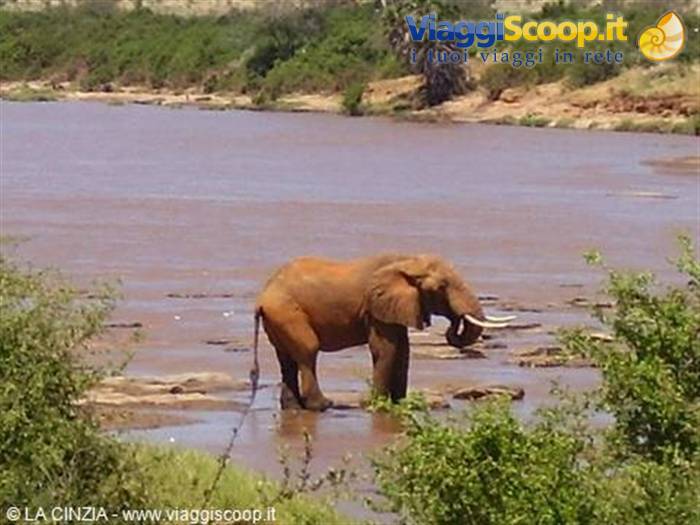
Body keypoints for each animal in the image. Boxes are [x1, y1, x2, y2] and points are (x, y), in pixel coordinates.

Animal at [252, 254, 513, 411]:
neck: (406, 261)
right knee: (308, 351)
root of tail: (262, 298)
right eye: (441, 288)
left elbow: (403, 350)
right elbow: (386, 349)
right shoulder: (376, 308)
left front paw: (399, 404)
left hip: (278, 318)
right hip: (288, 313)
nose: (454, 322)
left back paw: (293, 408)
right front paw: (378, 405)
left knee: (286, 360)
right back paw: (323, 405)